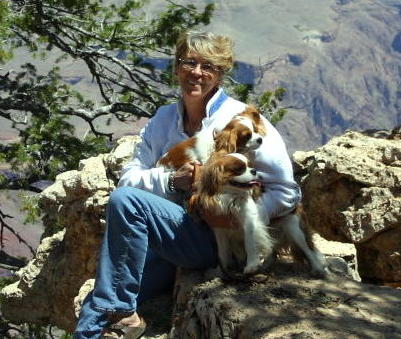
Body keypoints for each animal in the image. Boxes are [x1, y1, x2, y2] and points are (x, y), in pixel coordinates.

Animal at [188, 153, 324, 278]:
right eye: (239, 169)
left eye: (249, 165)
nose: (254, 170)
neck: (230, 197)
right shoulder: (219, 229)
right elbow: (222, 252)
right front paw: (223, 270)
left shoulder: (250, 222)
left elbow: (250, 243)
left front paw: (252, 265)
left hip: (294, 229)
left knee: (309, 249)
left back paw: (318, 268)